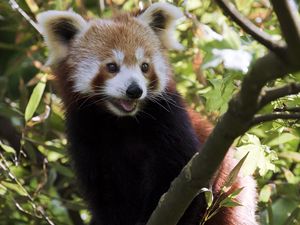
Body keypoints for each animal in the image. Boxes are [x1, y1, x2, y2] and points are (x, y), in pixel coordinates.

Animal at [37, 2, 258, 225]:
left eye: (144, 66)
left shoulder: (172, 122)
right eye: (112, 67)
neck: (122, 122)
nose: (134, 90)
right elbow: (105, 193)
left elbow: (177, 177)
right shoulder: (85, 136)